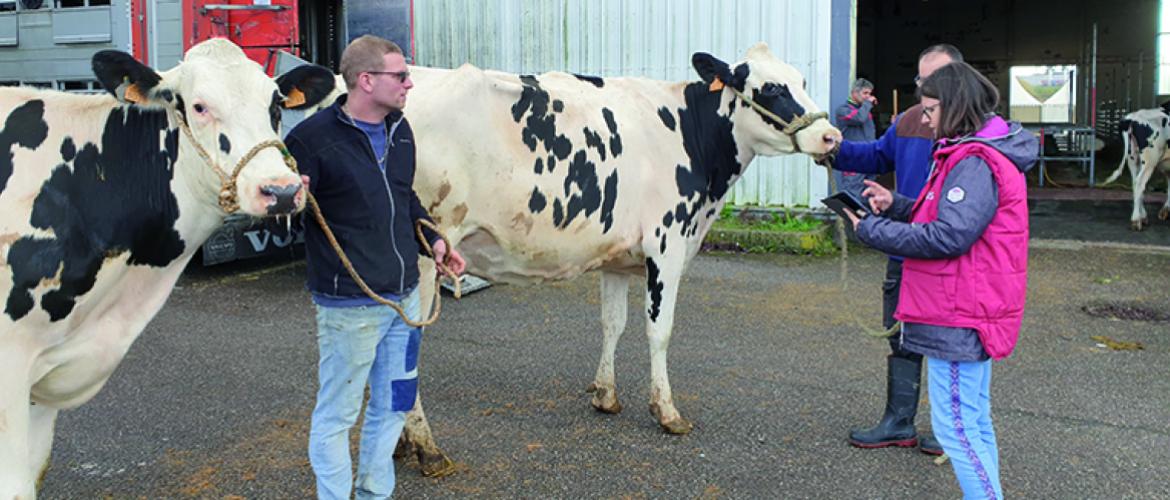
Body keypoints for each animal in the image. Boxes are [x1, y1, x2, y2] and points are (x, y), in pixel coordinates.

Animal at [291, 42, 842, 473]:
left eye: (802, 80)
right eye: (770, 89)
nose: (831, 136)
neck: (690, 136)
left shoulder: (618, 257)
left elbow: (613, 324)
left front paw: (606, 395)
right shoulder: (667, 244)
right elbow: (658, 332)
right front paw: (666, 412)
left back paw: (403, 443)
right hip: (424, 254)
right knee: (404, 345)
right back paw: (426, 448)